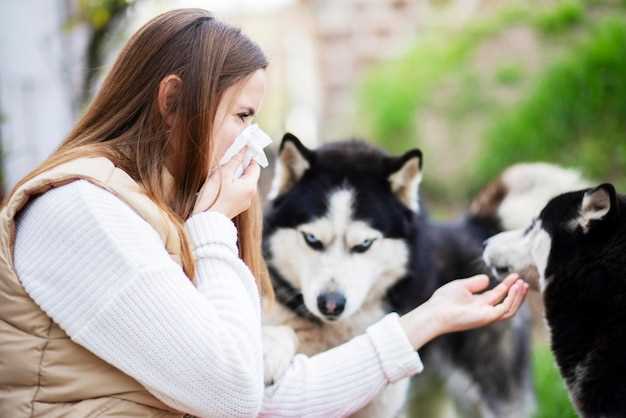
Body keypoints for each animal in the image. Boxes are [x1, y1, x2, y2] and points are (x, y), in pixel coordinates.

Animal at [260, 135, 580, 418]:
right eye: (312, 239)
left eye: (364, 244)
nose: (330, 304)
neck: (335, 336)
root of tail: (475, 227)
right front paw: (271, 349)